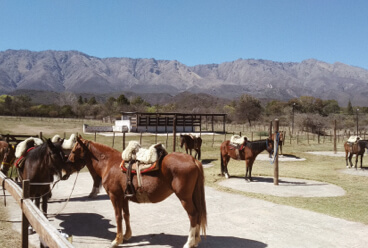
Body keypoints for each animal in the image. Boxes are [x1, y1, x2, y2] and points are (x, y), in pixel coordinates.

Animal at [66, 136, 207, 248]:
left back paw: (189, 242)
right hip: (192, 196)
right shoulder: (123, 197)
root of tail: (193, 160)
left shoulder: (114, 196)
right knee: (198, 214)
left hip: (184, 198)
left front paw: (117, 240)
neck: (109, 163)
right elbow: (126, 215)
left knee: (193, 215)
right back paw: (196, 240)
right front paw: (126, 235)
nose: (67, 164)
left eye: (73, 150)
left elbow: (118, 216)